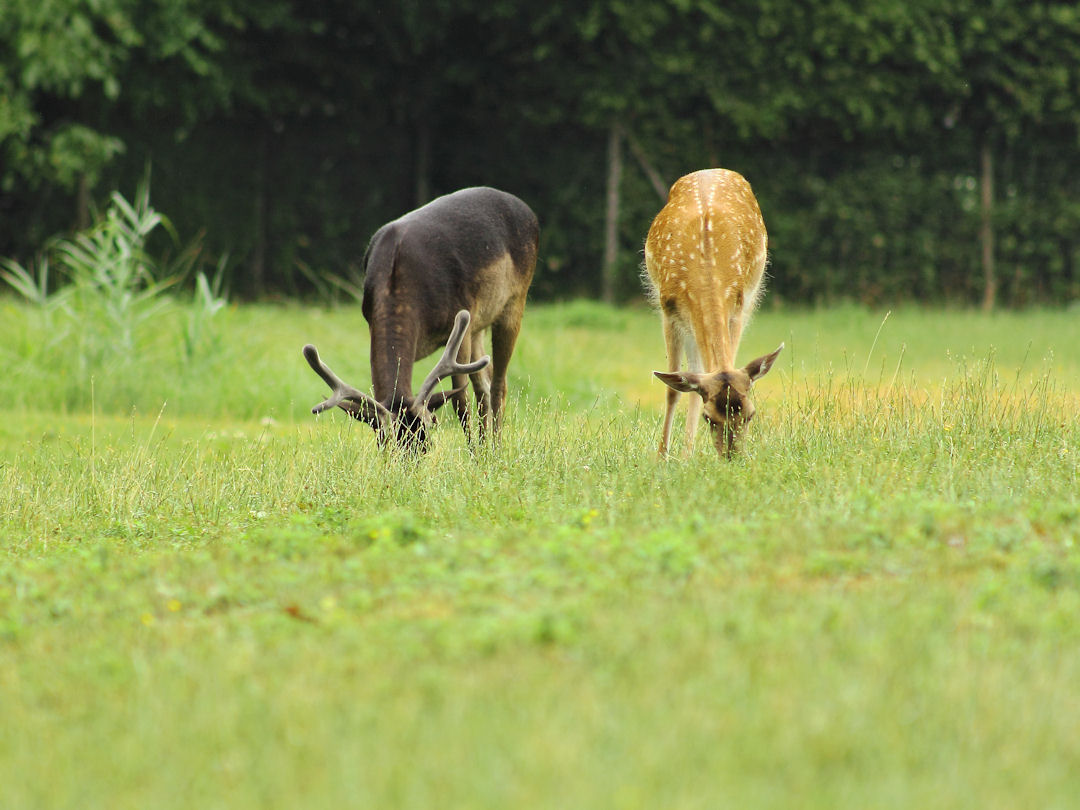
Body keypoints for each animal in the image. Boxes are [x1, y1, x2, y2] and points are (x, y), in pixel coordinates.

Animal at [302, 186, 537, 453]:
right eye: (384, 445)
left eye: (424, 442)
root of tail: (526, 209)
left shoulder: (462, 319)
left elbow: (459, 399)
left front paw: (473, 455)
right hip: (479, 325)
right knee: (484, 384)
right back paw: (487, 445)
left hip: (515, 301)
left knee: (498, 384)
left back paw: (494, 449)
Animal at [639, 168, 786, 460]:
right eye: (709, 418)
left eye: (751, 415)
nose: (732, 457)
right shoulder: (668, 310)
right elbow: (672, 389)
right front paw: (661, 458)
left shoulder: (738, 307)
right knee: (693, 375)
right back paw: (684, 454)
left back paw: (687, 453)